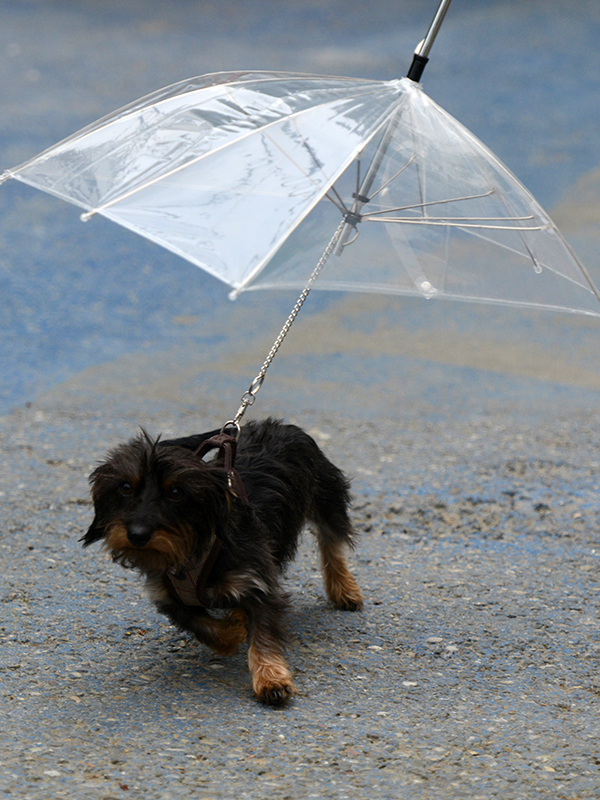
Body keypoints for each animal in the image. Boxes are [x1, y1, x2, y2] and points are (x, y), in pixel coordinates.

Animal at [82, 418, 364, 708]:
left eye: (176, 492)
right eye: (125, 487)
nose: (137, 534)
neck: (193, 551)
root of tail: (278, 424)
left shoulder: (259, 582)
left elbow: (263, 634)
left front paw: (270, 679)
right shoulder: (168, 597)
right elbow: (203, 625)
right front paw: (233, 633)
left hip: (326, 499)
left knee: (332, 546)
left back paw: (344, 589)